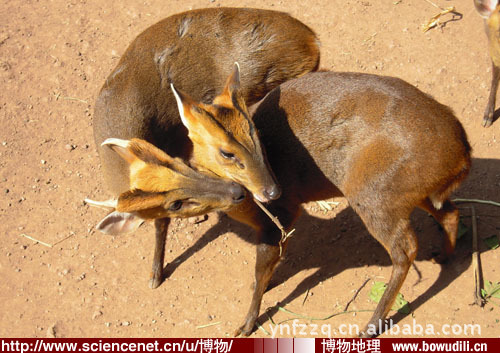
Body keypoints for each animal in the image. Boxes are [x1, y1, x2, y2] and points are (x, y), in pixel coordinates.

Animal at [93, 8, 320, 288]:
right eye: (175, 204)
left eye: (181, 163)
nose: (237, 192)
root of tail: (312, 40)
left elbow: (160, 227)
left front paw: (156, 274)